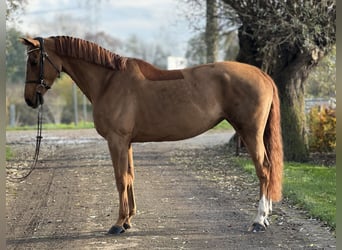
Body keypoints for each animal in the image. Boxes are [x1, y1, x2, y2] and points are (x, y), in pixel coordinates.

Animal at [21, 35, 284, 234]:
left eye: (34, 60)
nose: (29, 100)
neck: (108, 81)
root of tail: (262, 75)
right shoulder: (127, 142)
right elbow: (130, 177)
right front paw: (128, 220)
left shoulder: (116, 141)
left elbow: (120, 179)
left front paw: (118, 224)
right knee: (268, 169)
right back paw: (265, 217)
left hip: (250, 132)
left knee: (264, 170)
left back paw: (258, 220)